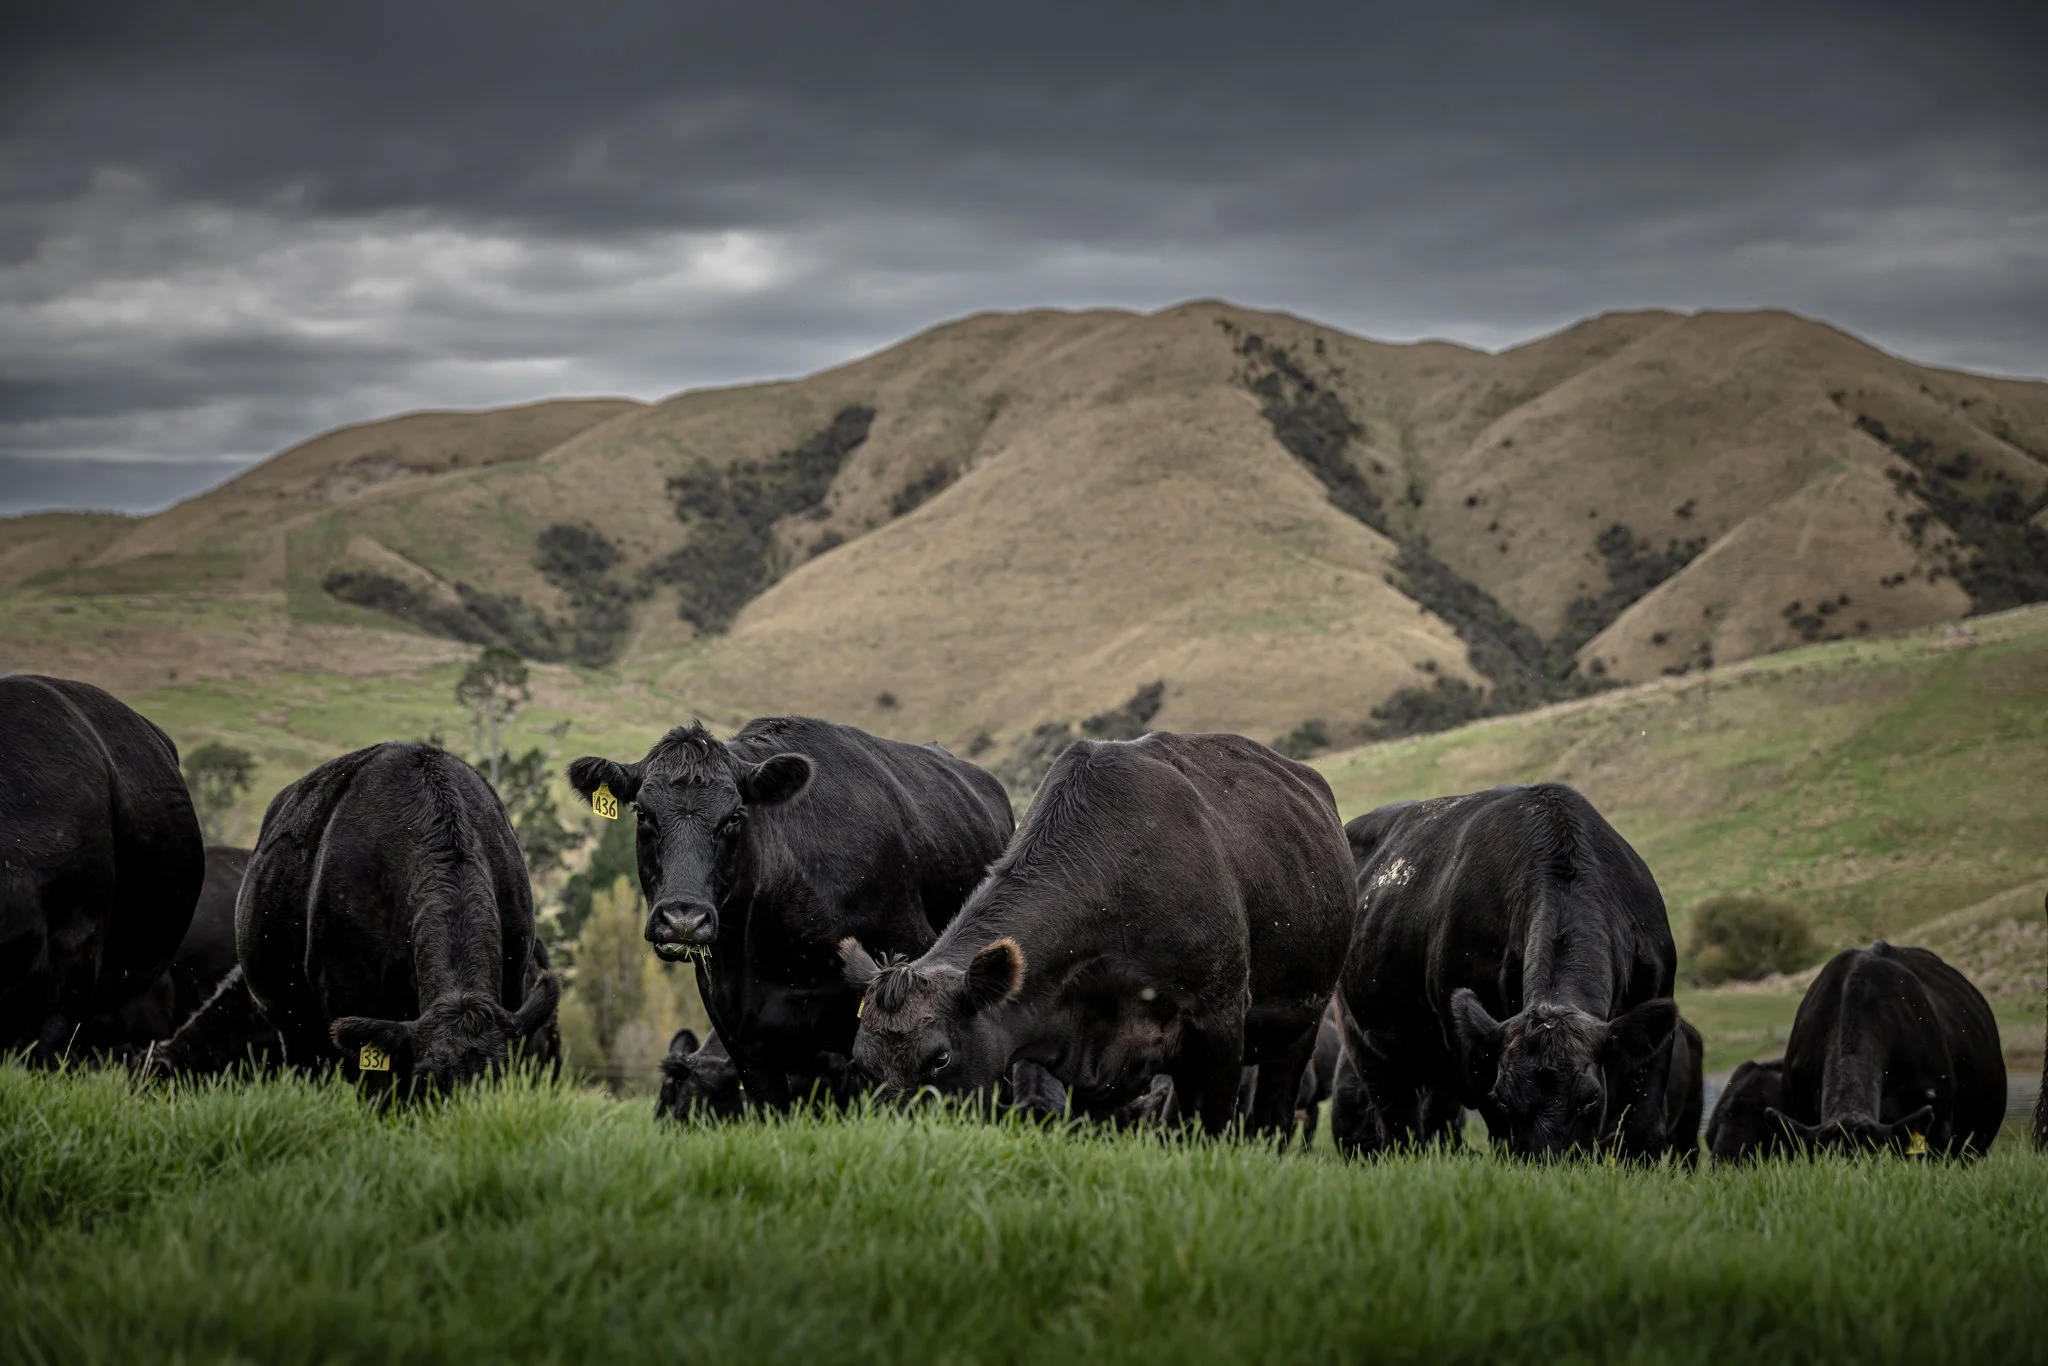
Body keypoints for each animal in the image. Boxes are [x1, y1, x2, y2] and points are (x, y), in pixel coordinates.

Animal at [840, 731, 1355, 1137]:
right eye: (862, 1064)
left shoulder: (1220, 1022)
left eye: (941, 1059)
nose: (894, 1138)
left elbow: (1206, 1126)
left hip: (1300, 1025)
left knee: (1274, 1115)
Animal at [1332, 784, 1679, 1161]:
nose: (1549, 1161)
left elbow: (1642, 1127)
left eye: (1591, 1099)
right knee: (1398, 1123)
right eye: (1504, 1100)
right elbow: (1501, 1133)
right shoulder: (1476, 1051)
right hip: (1365, 1042)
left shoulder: (1657, 1012)